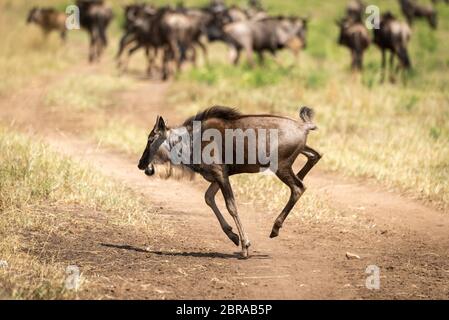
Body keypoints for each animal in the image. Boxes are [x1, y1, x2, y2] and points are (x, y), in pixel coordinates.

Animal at [136, 106, 318, 258]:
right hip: (294, 157)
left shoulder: (220, 174)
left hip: (281, 167)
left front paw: (245, 246)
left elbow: (231, 206)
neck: (190, 141)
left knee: (298, 187)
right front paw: (233, 236)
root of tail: (303, 127)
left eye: (151, 139)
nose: (141, 164)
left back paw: (275, 228)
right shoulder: (219, 176)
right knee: (315, 155)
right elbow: (208, 197)